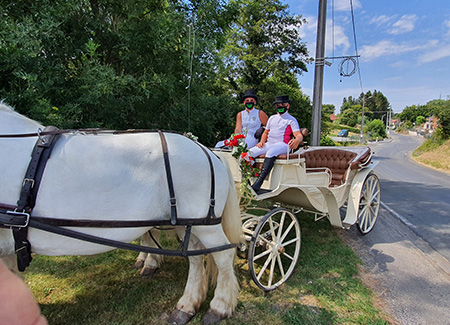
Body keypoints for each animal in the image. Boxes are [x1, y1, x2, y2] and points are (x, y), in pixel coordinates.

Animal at [0, 102, 243, 322]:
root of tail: (208, 152)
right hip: (189, 222)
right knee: (195, 257)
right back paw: (186, 306)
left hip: (205, 224)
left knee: (223, 255)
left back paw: (219, 307)